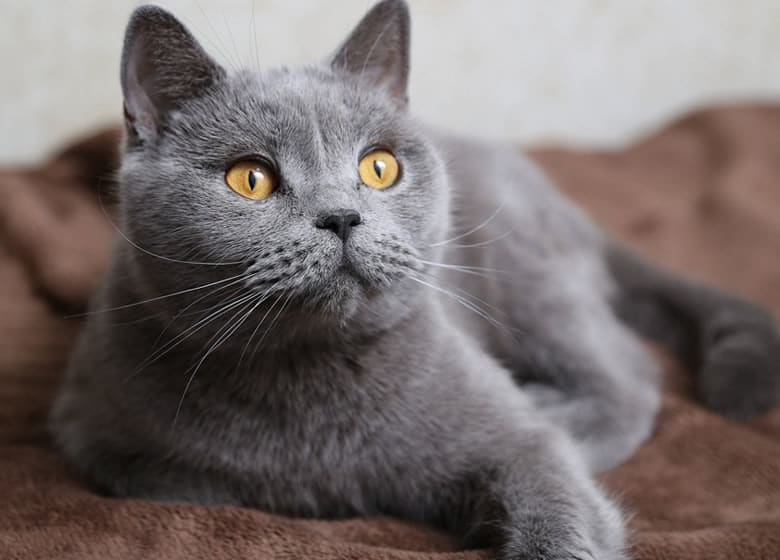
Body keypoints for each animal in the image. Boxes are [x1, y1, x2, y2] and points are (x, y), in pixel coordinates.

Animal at [50, 2, 780, 556]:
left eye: (378, 168)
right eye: (249, 178)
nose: (342, 216)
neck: (304, 382)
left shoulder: (518, 444)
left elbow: (549, 478)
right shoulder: (93, 435)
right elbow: (187, 480)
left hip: (525, 272)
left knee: (629, 373)